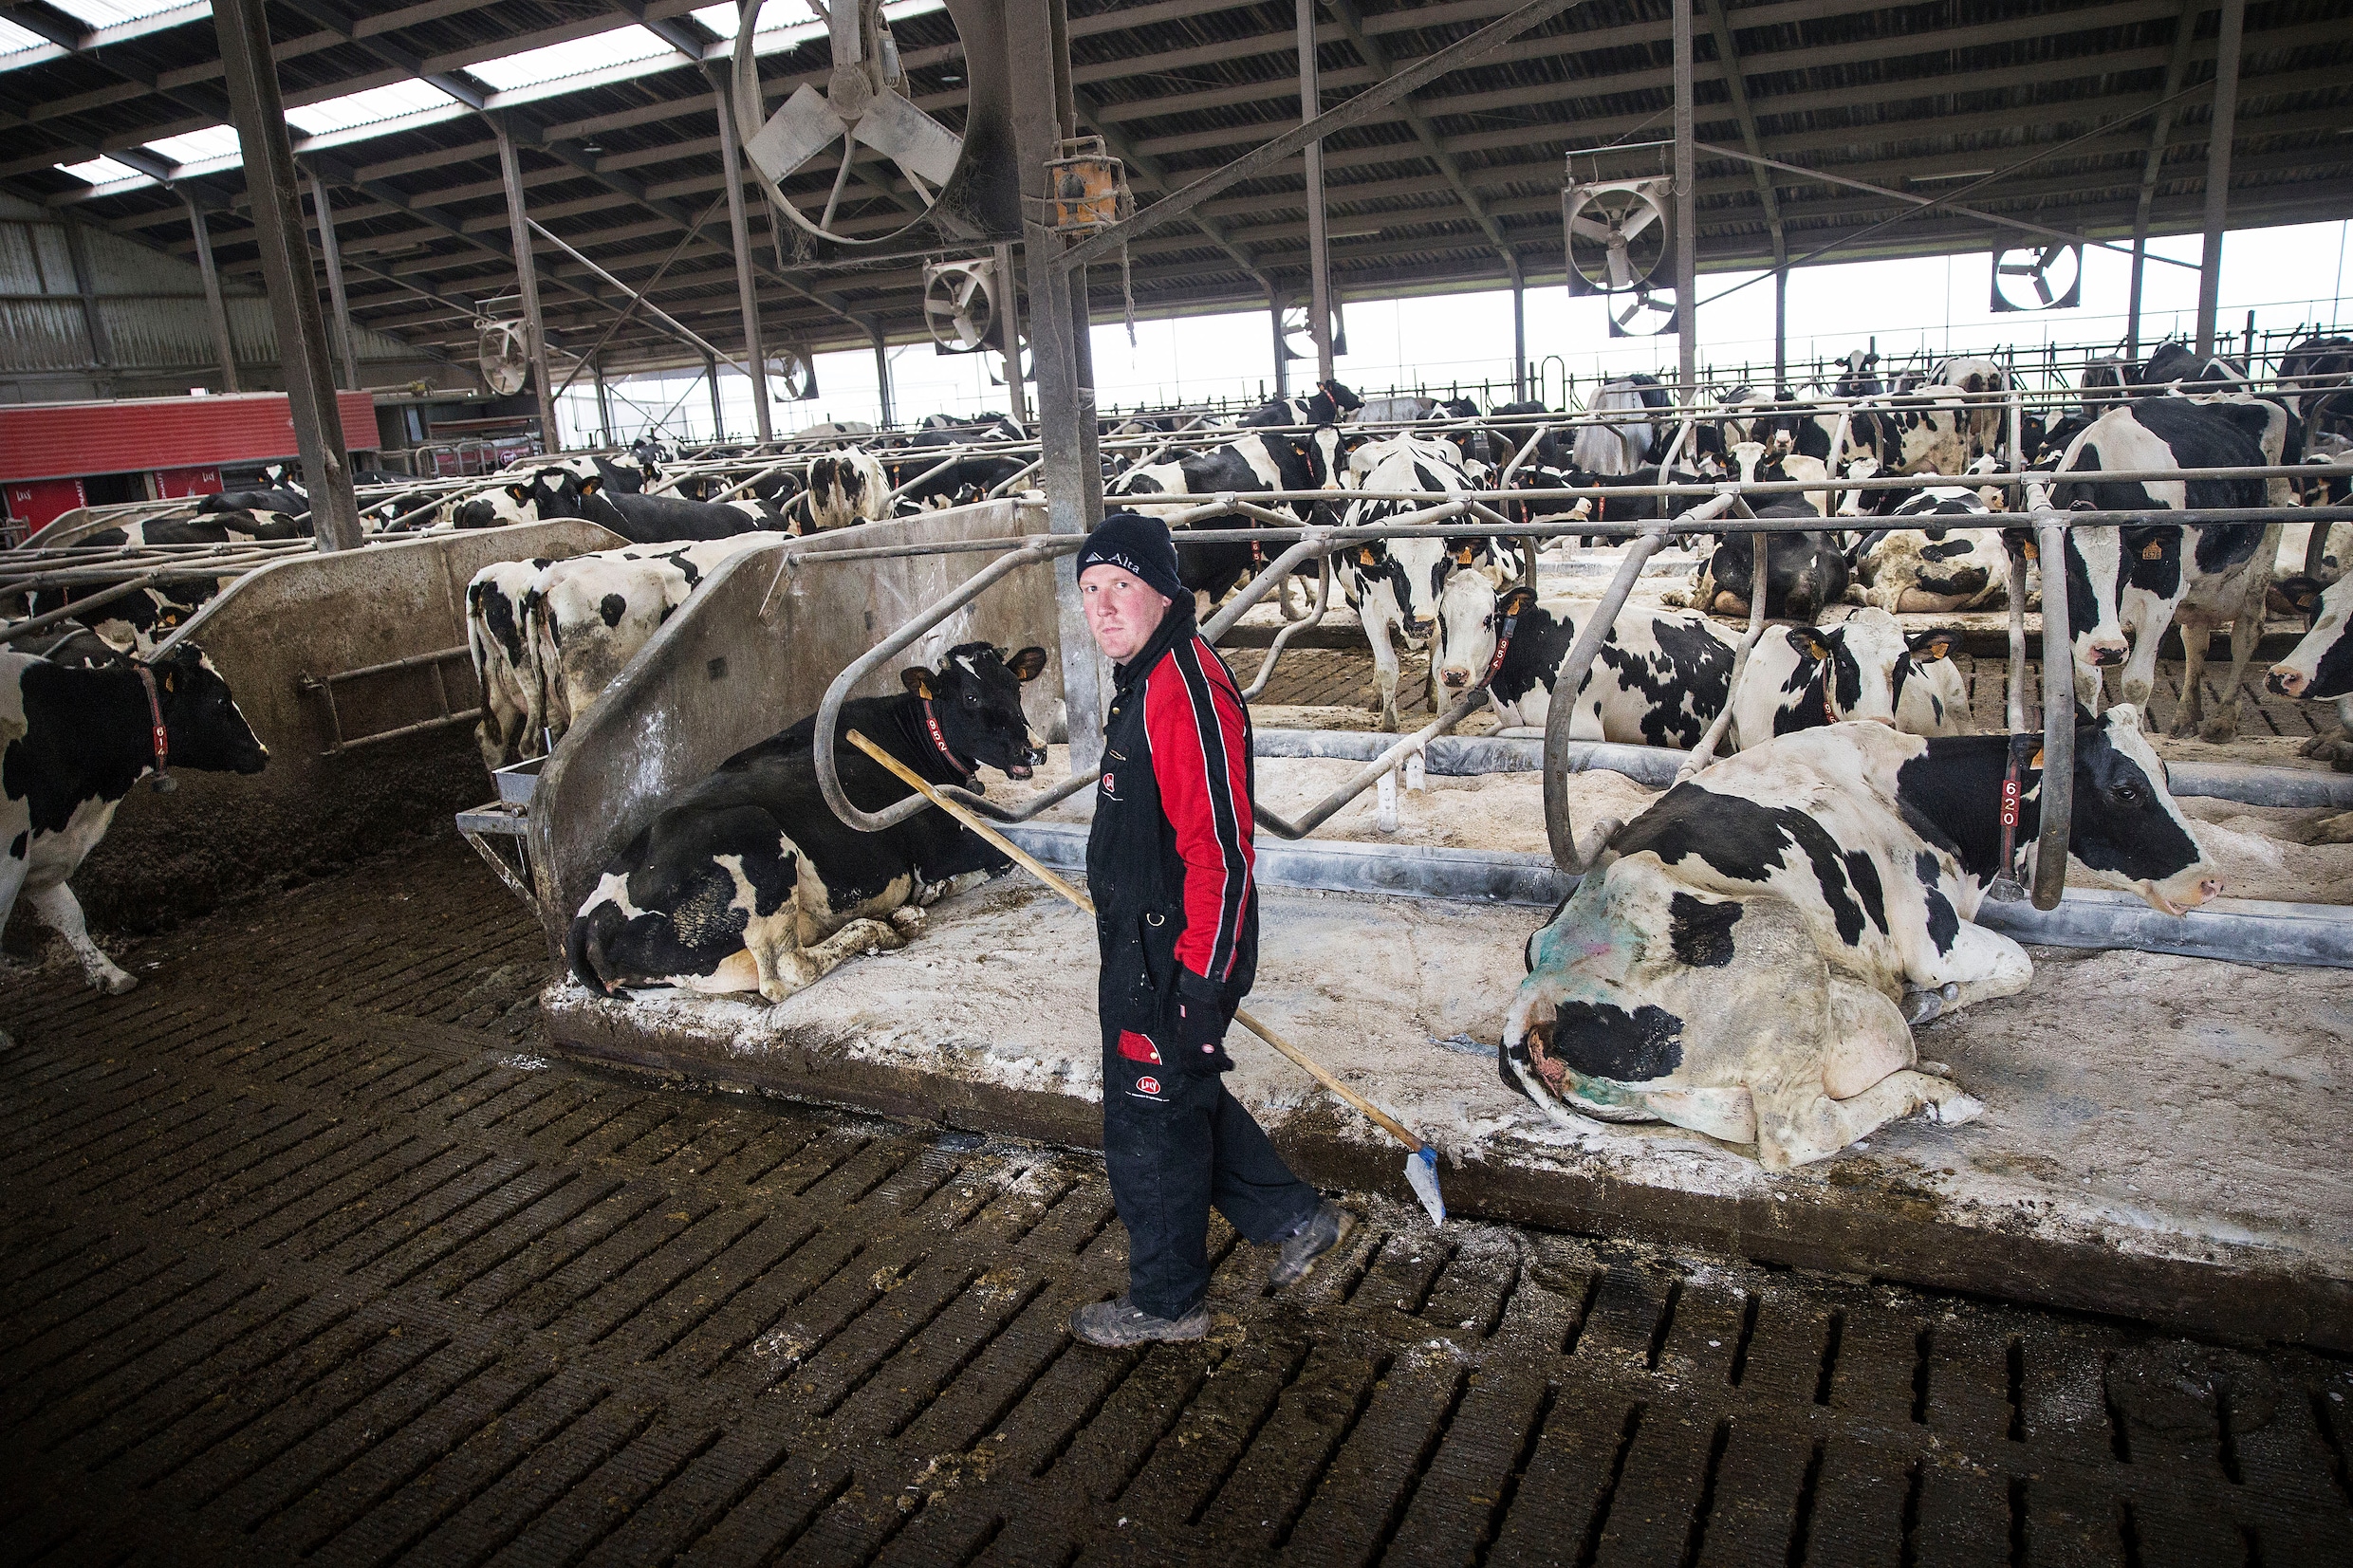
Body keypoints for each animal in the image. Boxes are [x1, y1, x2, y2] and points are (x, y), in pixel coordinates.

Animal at [2, 648, 268, 991]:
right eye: (222, 699)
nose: (263, 752)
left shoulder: (36, 853)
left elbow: (68, 914)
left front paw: (109, 974)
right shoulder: (9, 858)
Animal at [565, 639, 1045, 1001]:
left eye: (1015, 688)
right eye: (971, 696)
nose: (1034, 750)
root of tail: (586, 919)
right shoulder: (937, 847)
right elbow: (1006, 857)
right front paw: (933, 891)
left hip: (708, 967)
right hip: (756, 846)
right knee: (786, 971)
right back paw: (878, 929)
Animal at [1506, 710, 2221, 1166]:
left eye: (2167, 772)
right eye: (2126, 788)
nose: (2212, 879)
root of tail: (1541, 985)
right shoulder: (1931, 937)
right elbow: (2019, 963)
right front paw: (1933, 1002)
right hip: (1783, 941)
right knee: (1802, 1132)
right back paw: (1935, 1093)